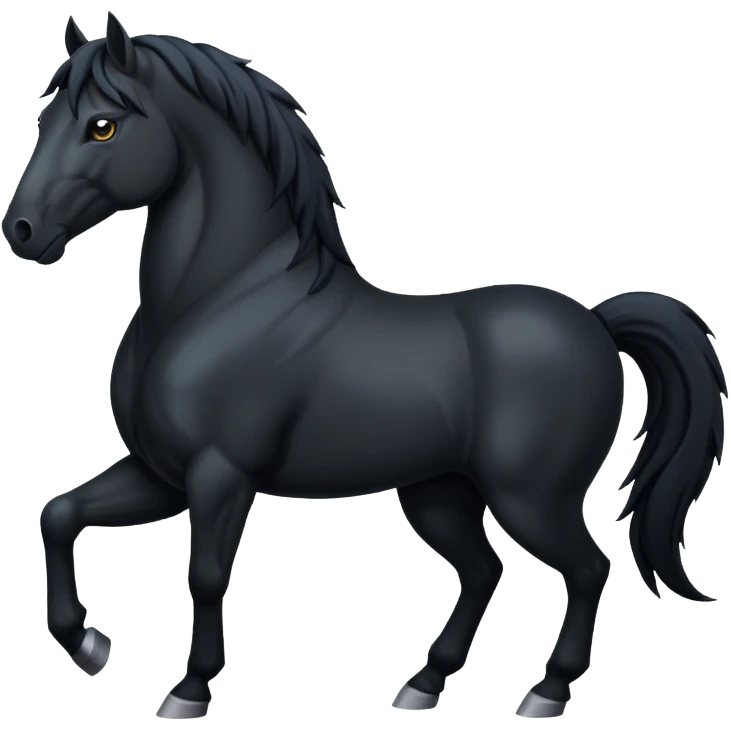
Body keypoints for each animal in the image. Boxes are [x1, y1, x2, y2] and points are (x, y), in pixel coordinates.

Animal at [3, 12, 726, 720]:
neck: (220, 299)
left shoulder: (220, 474)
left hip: (530, 497)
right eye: (44, 120)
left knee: (586, 568)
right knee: (483, 571)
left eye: (103, 125)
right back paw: (422, 685)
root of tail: (597, 324)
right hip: (440, 492)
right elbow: (59, 515)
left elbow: (204, 575)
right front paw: (89, 645)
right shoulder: (161, 472)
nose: (22, 231)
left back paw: (545, 692)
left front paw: (188, 690)